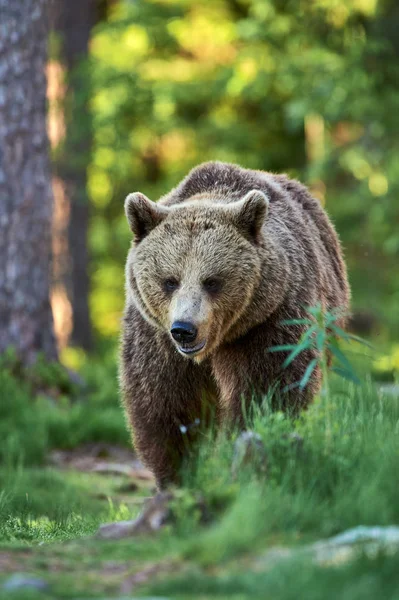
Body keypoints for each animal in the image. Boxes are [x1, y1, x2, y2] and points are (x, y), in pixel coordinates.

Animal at [121, 162, 350, 490]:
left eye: (212, 281)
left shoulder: (268, 321)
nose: (184, 329)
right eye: (170, 280)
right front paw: (178, 475)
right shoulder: (156, 337)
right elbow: (166, 402)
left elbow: (265, 390)